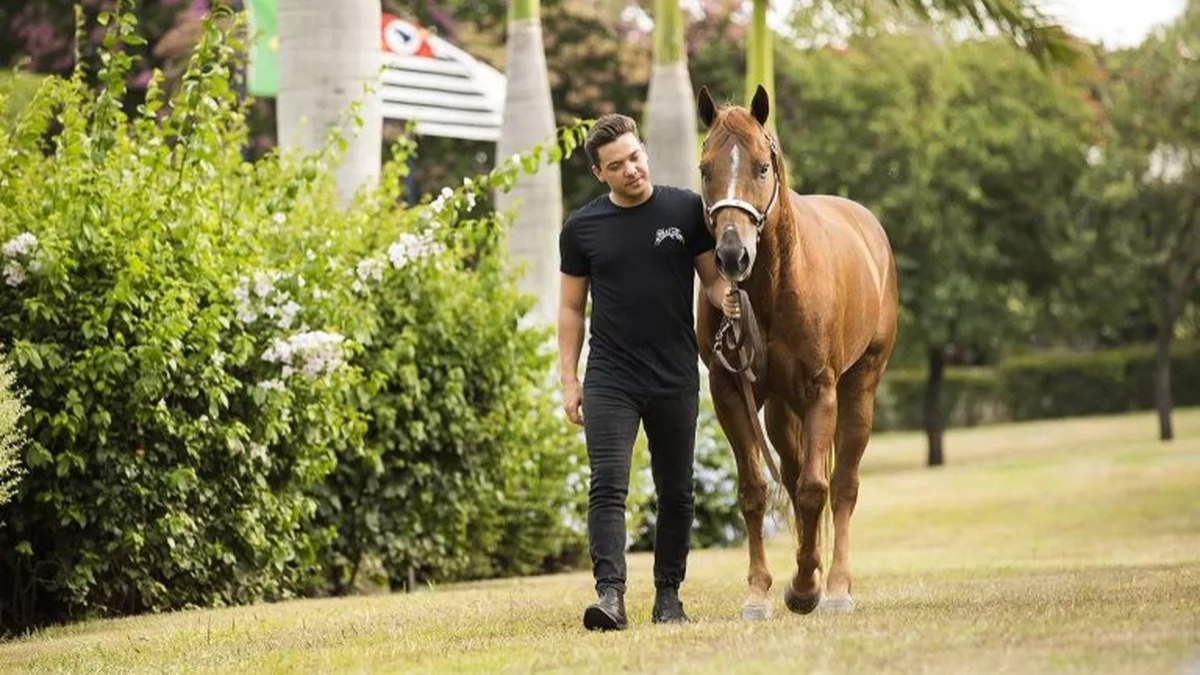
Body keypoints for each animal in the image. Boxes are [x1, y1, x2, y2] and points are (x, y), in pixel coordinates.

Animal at [696, 84, 902, 614]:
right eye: (705, 168)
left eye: (761, 167)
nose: (732, 256)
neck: (773, 287)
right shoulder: (731, 391)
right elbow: (755, 490)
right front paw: (762, 591)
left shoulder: (820, 390)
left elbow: (815, 490)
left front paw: (809, 588)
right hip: (780, 409)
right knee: (789, 477)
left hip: (858, 389)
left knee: (843, 486)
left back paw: (837, 587)